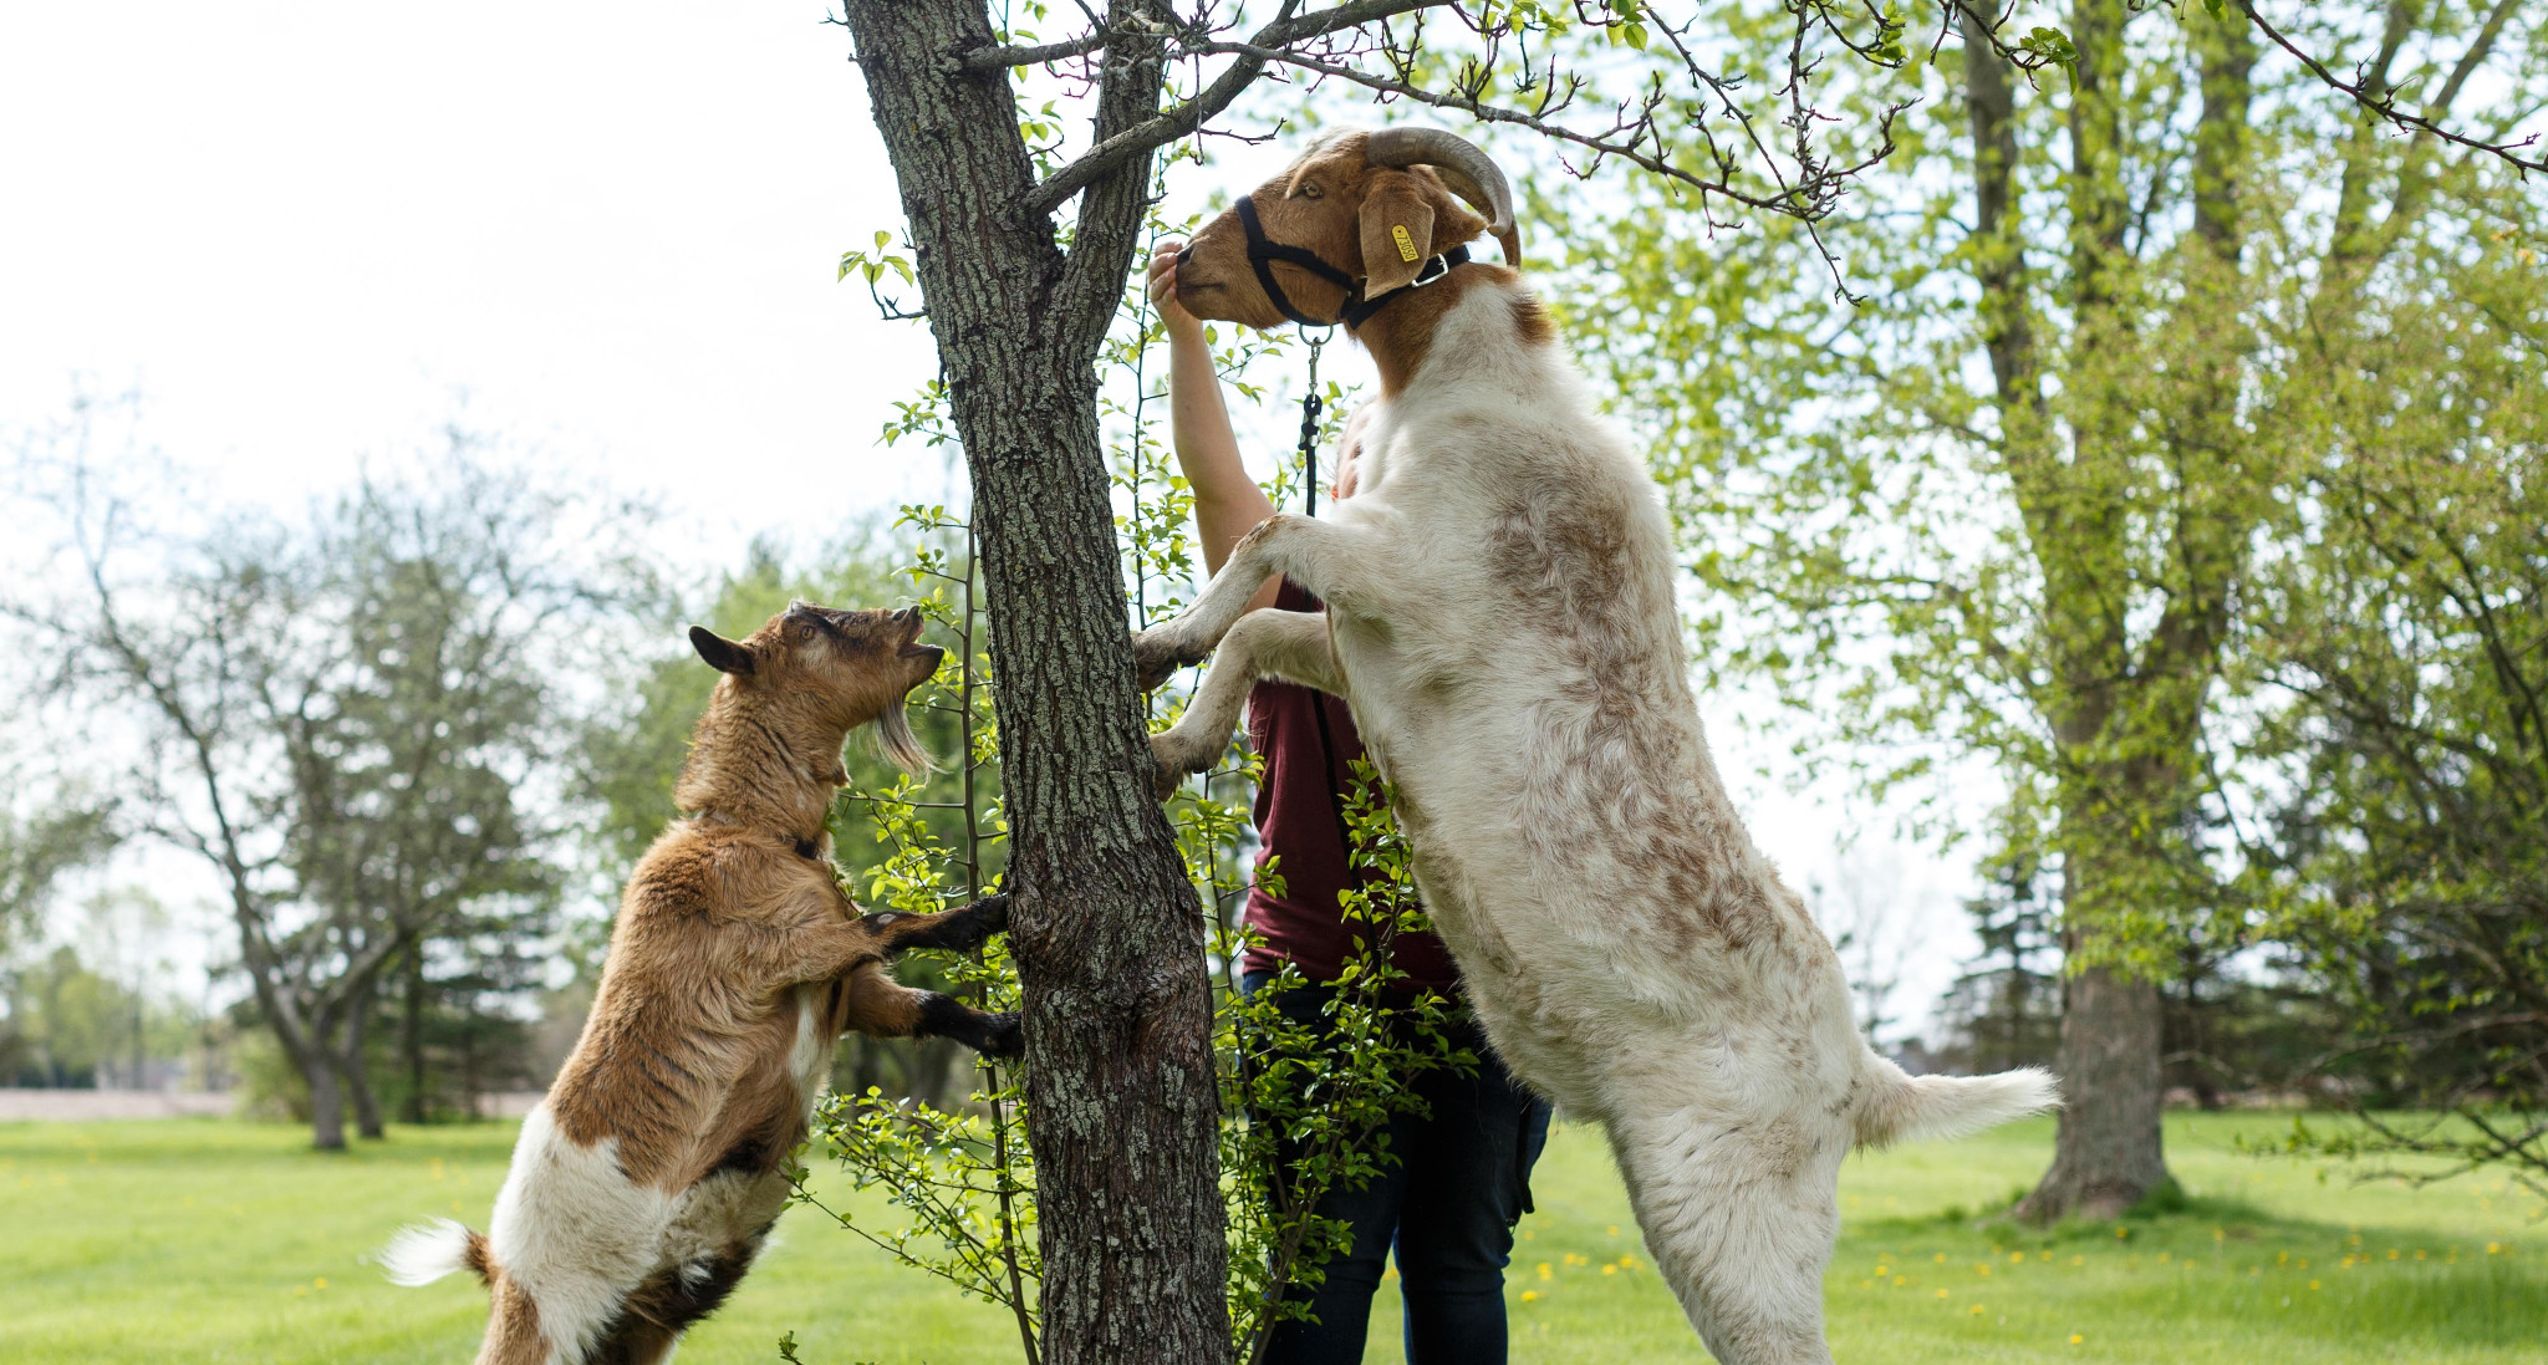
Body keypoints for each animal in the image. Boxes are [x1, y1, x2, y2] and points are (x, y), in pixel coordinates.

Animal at [379, 603, 1014, 1365]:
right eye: (807, 626)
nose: (908, 613)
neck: (759, 835)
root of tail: (498, 1261)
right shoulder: (780, 953)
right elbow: (887, 923)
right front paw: (984, 912)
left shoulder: (846, 992)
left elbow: (924, 1003)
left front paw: (1003, 1031)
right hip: (542, 1323)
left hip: (636, 1334)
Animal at [1136, 122, 2048, 1354]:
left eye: (1315, 185)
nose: (1184, 263)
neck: (1460, 393)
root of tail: (1860, 1077)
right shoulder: (1362, 641)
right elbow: (1265, 629)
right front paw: (1172, 742)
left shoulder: (1415, 588)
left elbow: (1271, 533)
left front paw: (1160, 638)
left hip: (1725, 1220)